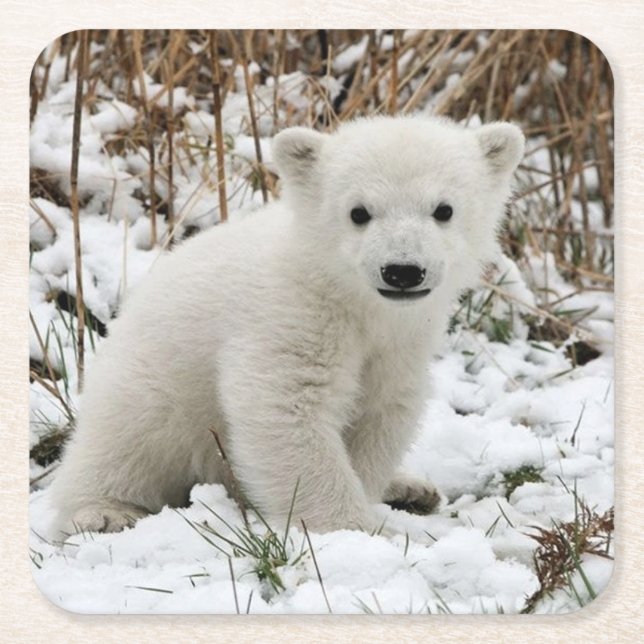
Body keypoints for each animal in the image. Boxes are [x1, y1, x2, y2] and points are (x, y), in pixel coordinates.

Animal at [48, 115, 524, 537]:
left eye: (444, 209)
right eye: (358, 212)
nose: (402, 271)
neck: (348, 296)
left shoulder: (401, 342)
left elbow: (381, 411)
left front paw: (372, 498)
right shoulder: (289, 316)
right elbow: (285, 408)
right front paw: (353, 530)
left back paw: (412, 488)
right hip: (151, 389)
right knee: (125, 444)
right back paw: (103, 512)